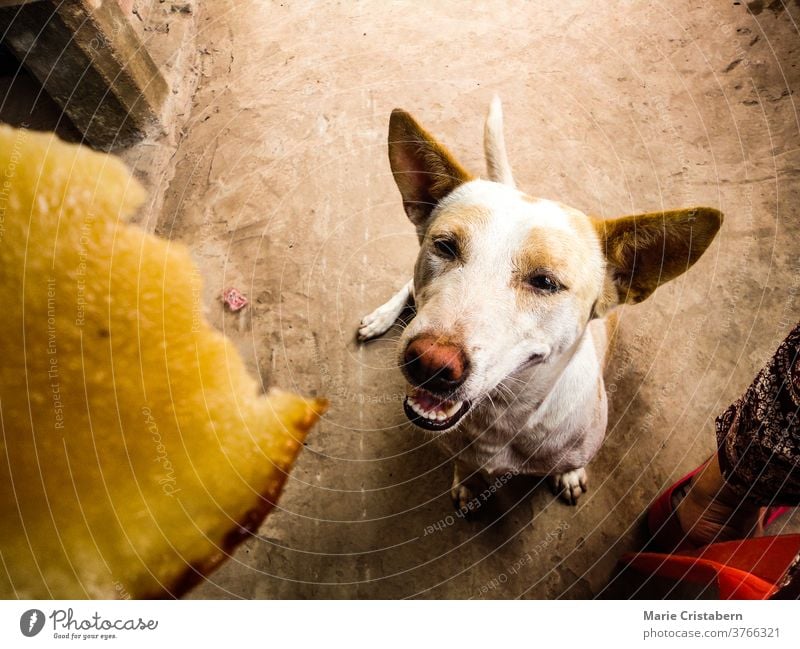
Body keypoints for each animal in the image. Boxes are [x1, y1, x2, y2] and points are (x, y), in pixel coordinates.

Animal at [360, 97, 720, 512]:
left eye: (545, 282)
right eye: (445, 246)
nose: (429, 364)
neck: (502, 418)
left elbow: (568, 464)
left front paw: (569, 475)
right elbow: (465, 464)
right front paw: (467, 481)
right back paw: (380, 318)